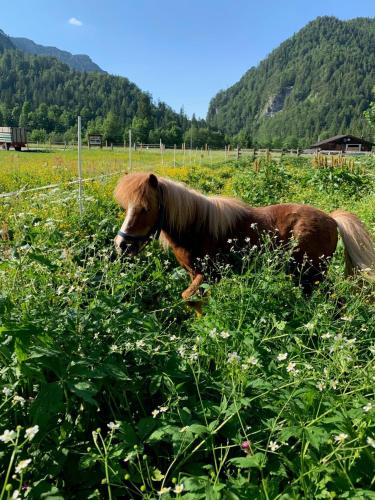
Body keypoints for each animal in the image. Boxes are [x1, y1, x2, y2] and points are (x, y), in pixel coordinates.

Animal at [114, 172, 375, 302]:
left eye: (146, 208)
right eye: (126, 207)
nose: (121, 245)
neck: (197, 226)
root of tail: (332, 219)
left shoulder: (207, 275)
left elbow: (188, 297)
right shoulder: (195, 275)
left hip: (313, 274)